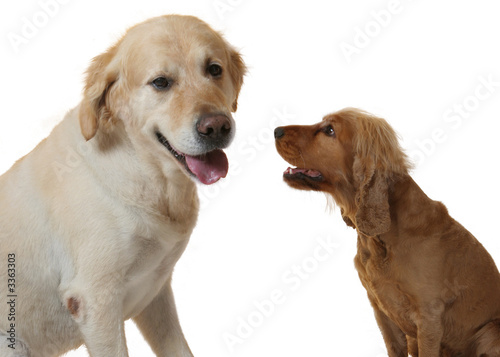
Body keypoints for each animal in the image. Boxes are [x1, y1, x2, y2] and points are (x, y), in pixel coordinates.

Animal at [0, 14, 245, 356]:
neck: (152, 178)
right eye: (161, 82)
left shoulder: (155, 292)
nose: (217, 127)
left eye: (214, 69)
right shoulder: (95, 300)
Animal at [274, 107, 500, 354]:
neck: (380, 241)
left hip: (490, 332)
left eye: (329, 130)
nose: (276, 130)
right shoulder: (382, 313)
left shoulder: (429, 318)